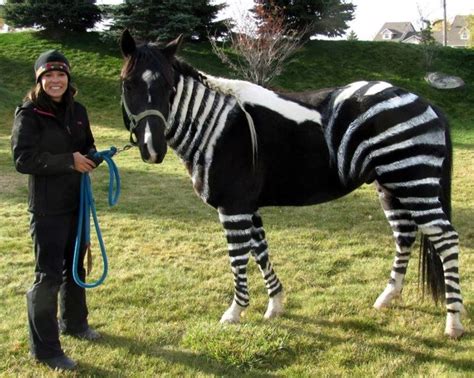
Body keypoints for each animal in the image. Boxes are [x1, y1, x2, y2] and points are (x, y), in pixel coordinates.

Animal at [119, 28, 466, 338]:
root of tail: (427, 101)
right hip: (391, 185)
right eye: (128, 84)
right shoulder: (248, 204)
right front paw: (275, 304)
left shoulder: (233, 205)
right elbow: (260, 251)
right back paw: (387, 297)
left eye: (169, 86)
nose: (152, 149)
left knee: (445, 238)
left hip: (413, 180)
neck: (213, 128)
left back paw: (453, 322)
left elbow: (238, 257)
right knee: (405, 234)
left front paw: (235, 312)